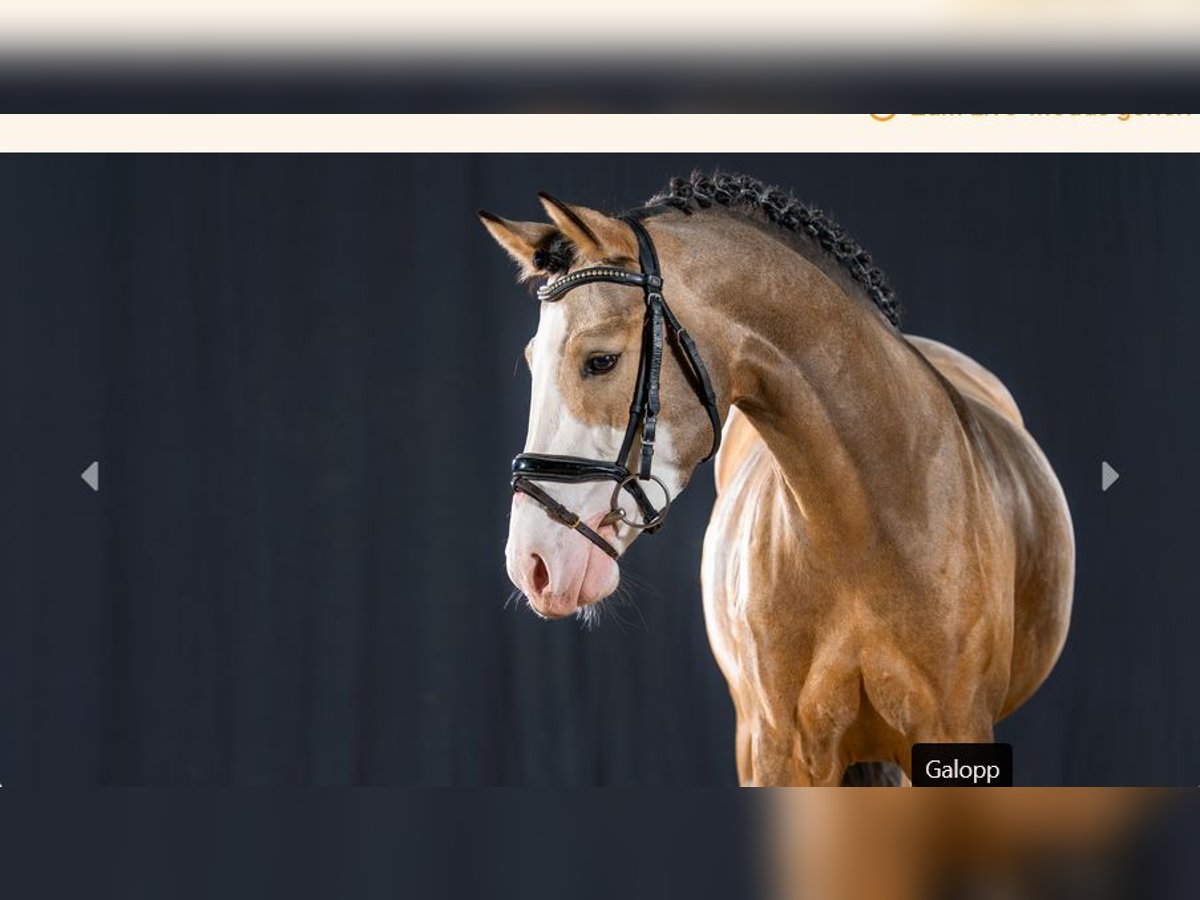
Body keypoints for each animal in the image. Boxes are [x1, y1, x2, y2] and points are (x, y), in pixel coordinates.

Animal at [481, 171, 1074, 786]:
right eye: (533, 363)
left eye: (600, 361)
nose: (534, 565)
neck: (860, 533)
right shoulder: (781, 749)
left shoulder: (955, 731)